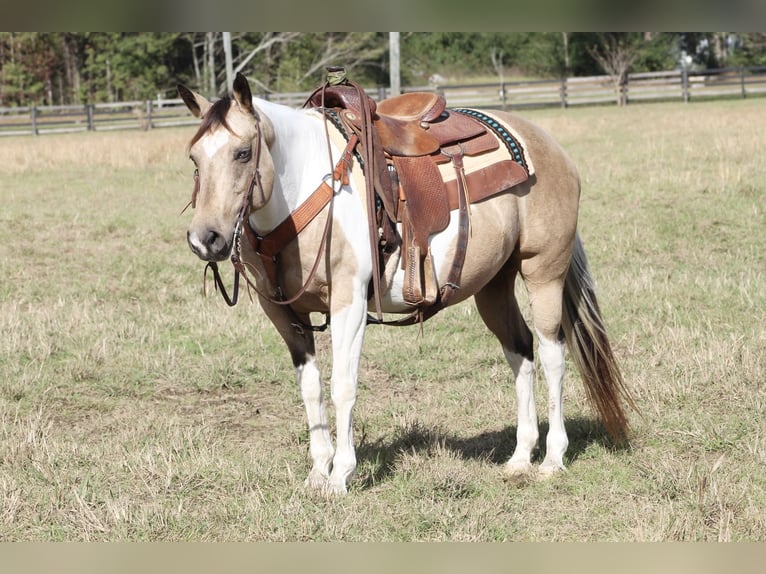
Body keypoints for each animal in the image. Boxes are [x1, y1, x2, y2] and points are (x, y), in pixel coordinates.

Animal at [178, 71, 636, 496]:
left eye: (242, 153)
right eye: (194, 157)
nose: (205, 239)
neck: (308, 186)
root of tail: (548, 144)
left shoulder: (349, 304)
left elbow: (343, 386)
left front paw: (340, 475)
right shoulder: (284, 313)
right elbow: (311, 390)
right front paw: (317, 473)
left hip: (544, 272)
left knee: (552, 353)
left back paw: (553, 459)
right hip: (493, 286)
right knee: (520, 350)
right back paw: (521, 457)